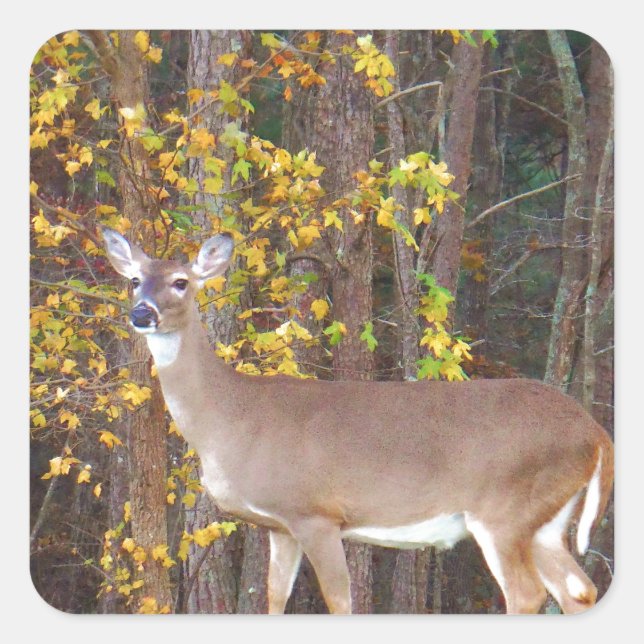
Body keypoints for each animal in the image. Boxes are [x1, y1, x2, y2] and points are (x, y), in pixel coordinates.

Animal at [102, 228, 613, 615]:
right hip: (546, 519)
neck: (231, 419)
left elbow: (340, 601)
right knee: (580, 591)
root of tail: (596, 432)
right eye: (134, 280)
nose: (141, 313)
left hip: (505, 509)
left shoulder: (316, 512)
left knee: (527, 595)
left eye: (181, 281)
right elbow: (274, 601)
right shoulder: (279, 526)